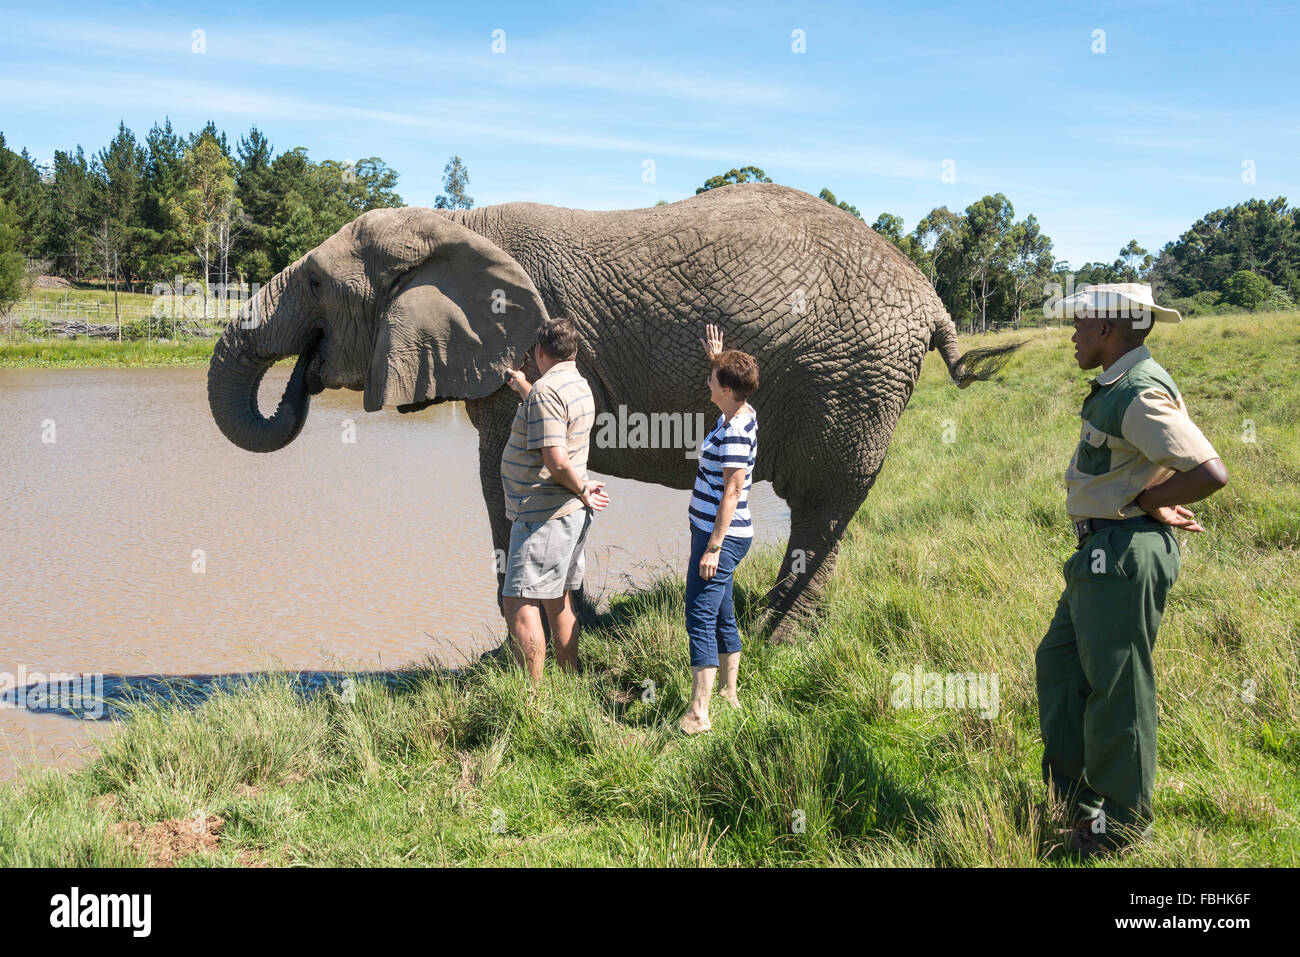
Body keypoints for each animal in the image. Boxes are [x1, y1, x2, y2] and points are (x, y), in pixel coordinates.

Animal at [208, 179, 1008, 642]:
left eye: (315, 282)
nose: (304, 375)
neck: (452, 223)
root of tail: (931, 298)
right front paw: (577, 629)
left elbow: (504, 478)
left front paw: (523, 648)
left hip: (854, 379)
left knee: (821, 503)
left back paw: (781, 642)